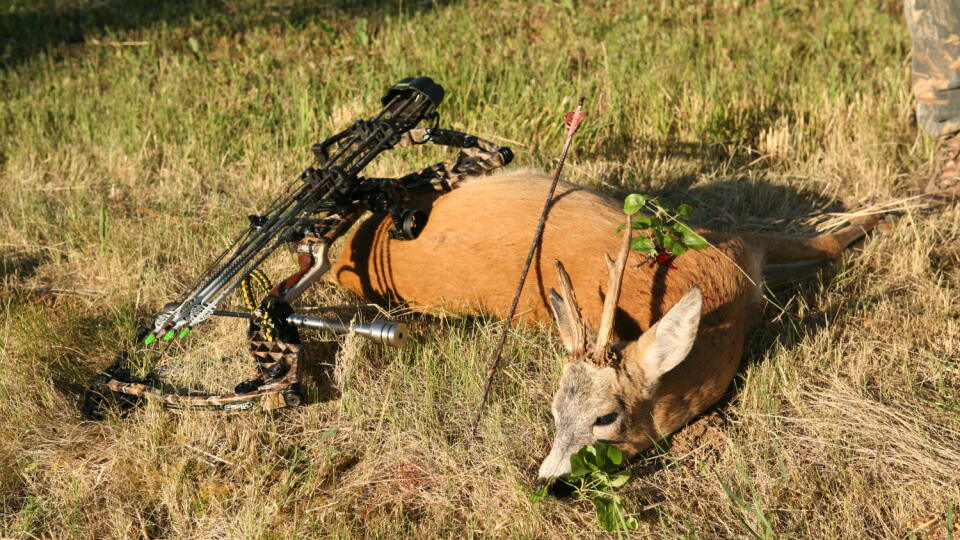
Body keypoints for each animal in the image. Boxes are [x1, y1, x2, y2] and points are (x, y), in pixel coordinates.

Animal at [328, 168, 876, 486]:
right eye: (552, 412)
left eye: (605, 417)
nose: (548, 482)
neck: (725, 312)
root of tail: (341, 263)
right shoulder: (726, 241)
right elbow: (826, 243)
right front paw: (881, 215)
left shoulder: (734, 249)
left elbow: (824, 245)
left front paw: (884, 213)